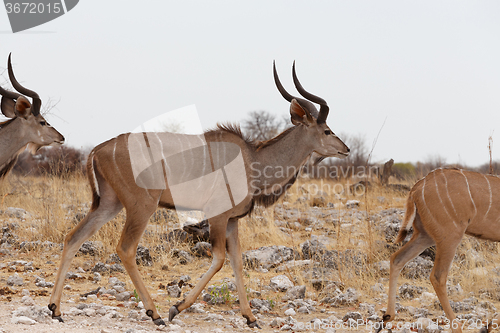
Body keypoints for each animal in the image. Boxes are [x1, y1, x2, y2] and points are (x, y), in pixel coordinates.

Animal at [48, 61, 350, 326]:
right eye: (326, 130)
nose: (345, 149)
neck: (253, 160)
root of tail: (97, 150)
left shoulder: (232, 221)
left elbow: (237, 262)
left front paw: (251, 317)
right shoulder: (218, 216)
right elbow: (219, 260)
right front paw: (176, 307)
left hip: (109, 205)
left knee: (73, 238)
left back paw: (55, 309)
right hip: (141, 206)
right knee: (126, 248)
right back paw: (155, 313)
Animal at [380, 169, 500, 332]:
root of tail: (416, 188)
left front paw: (488, 326)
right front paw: (487, 326)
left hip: (424, 235)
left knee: (397, 258)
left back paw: (388, 316)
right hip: (450, 237)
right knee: (438, 276)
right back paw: (457, 327)